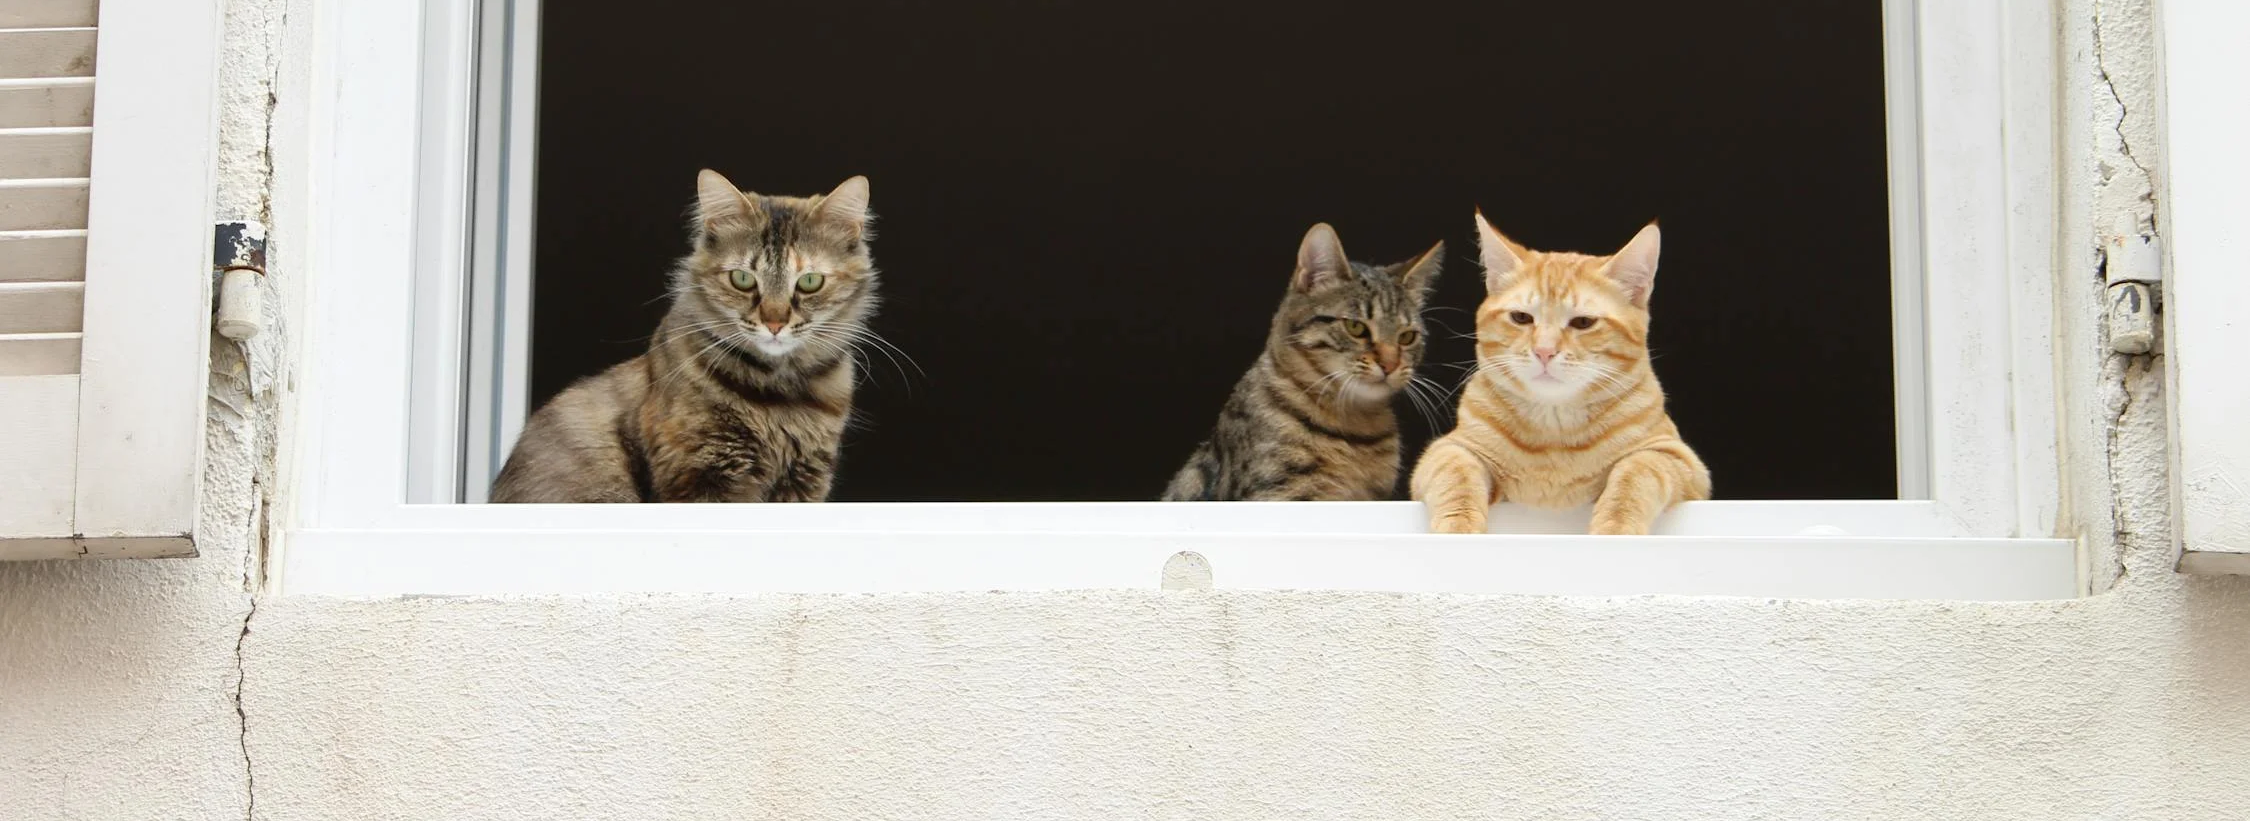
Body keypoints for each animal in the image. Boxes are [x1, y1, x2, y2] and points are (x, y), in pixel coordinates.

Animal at [488, 169, 873, 501]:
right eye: (742, 279)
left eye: (809, 282)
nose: (774, 324)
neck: (779, 397)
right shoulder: (699, 471)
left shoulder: (804, 477)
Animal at [1413, 211, 1710, 533]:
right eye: (1521, 318)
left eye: (1583, 323)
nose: (1544, 351)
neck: (1553, 431)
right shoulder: (1450, 448)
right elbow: (1456, 477)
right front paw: (1459, 529)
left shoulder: (1676, 458)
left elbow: (1635, 474)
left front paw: (1615, 528)